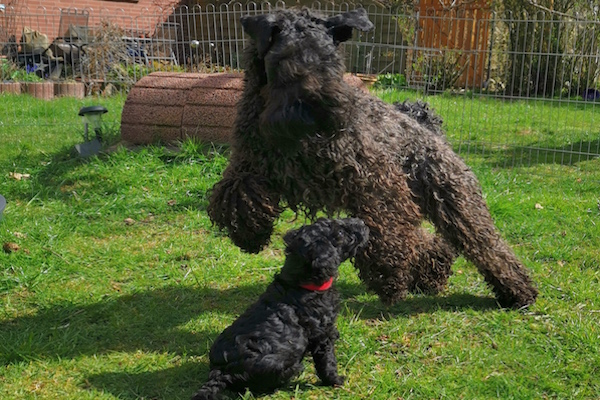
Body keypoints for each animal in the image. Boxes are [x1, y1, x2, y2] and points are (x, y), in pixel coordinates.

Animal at [193, 219, 370, 400]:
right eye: (341, 233)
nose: (362, 222)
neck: (299, 284)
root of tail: (220, 372)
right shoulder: (322, 336)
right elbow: (327, 362)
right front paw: (336, 380)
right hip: (280, 363)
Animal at [207, 7, 540, 310]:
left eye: (331, 58)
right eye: (285, 58)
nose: (325, 107)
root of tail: (428, 129)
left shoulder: (376, 181)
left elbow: (386, 229)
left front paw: (390, 276)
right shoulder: (249, 167)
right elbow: (234, 196)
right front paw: (250, 235)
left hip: (455, 202)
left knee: (488, 247)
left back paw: (517, 292)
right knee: (427, 242)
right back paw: (432, 273)